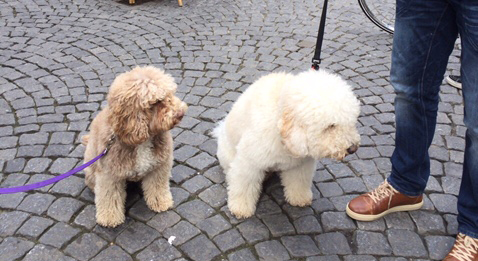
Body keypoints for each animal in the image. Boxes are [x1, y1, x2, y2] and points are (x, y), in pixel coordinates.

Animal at [215, 69, 360, 217]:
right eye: (330, 126)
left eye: (351, 121)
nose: (353, 148)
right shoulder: (249, 162)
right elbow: (244, 185)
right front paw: (241, 207)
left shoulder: (300, 164)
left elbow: (298, 182)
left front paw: (299, 198)